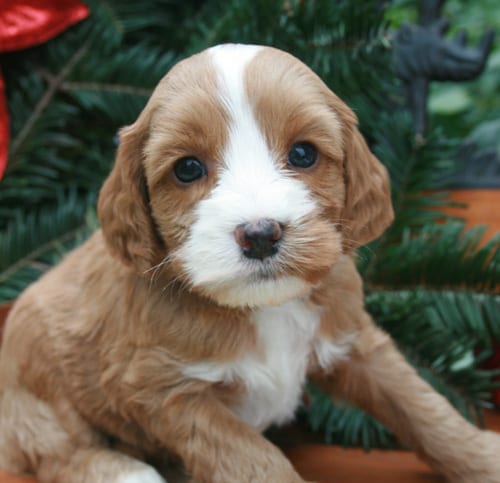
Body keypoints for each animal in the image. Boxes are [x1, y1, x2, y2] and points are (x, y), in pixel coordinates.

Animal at [1, 43, 499, 483]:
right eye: (187, 168)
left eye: (303, 153)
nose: (260, 234)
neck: (263, 306)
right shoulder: (167, 391)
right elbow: (256, 461)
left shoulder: (354, 339)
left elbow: (420, 404)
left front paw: (483, 459)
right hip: (34, 402)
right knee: (57, 453)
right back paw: (126, 471)